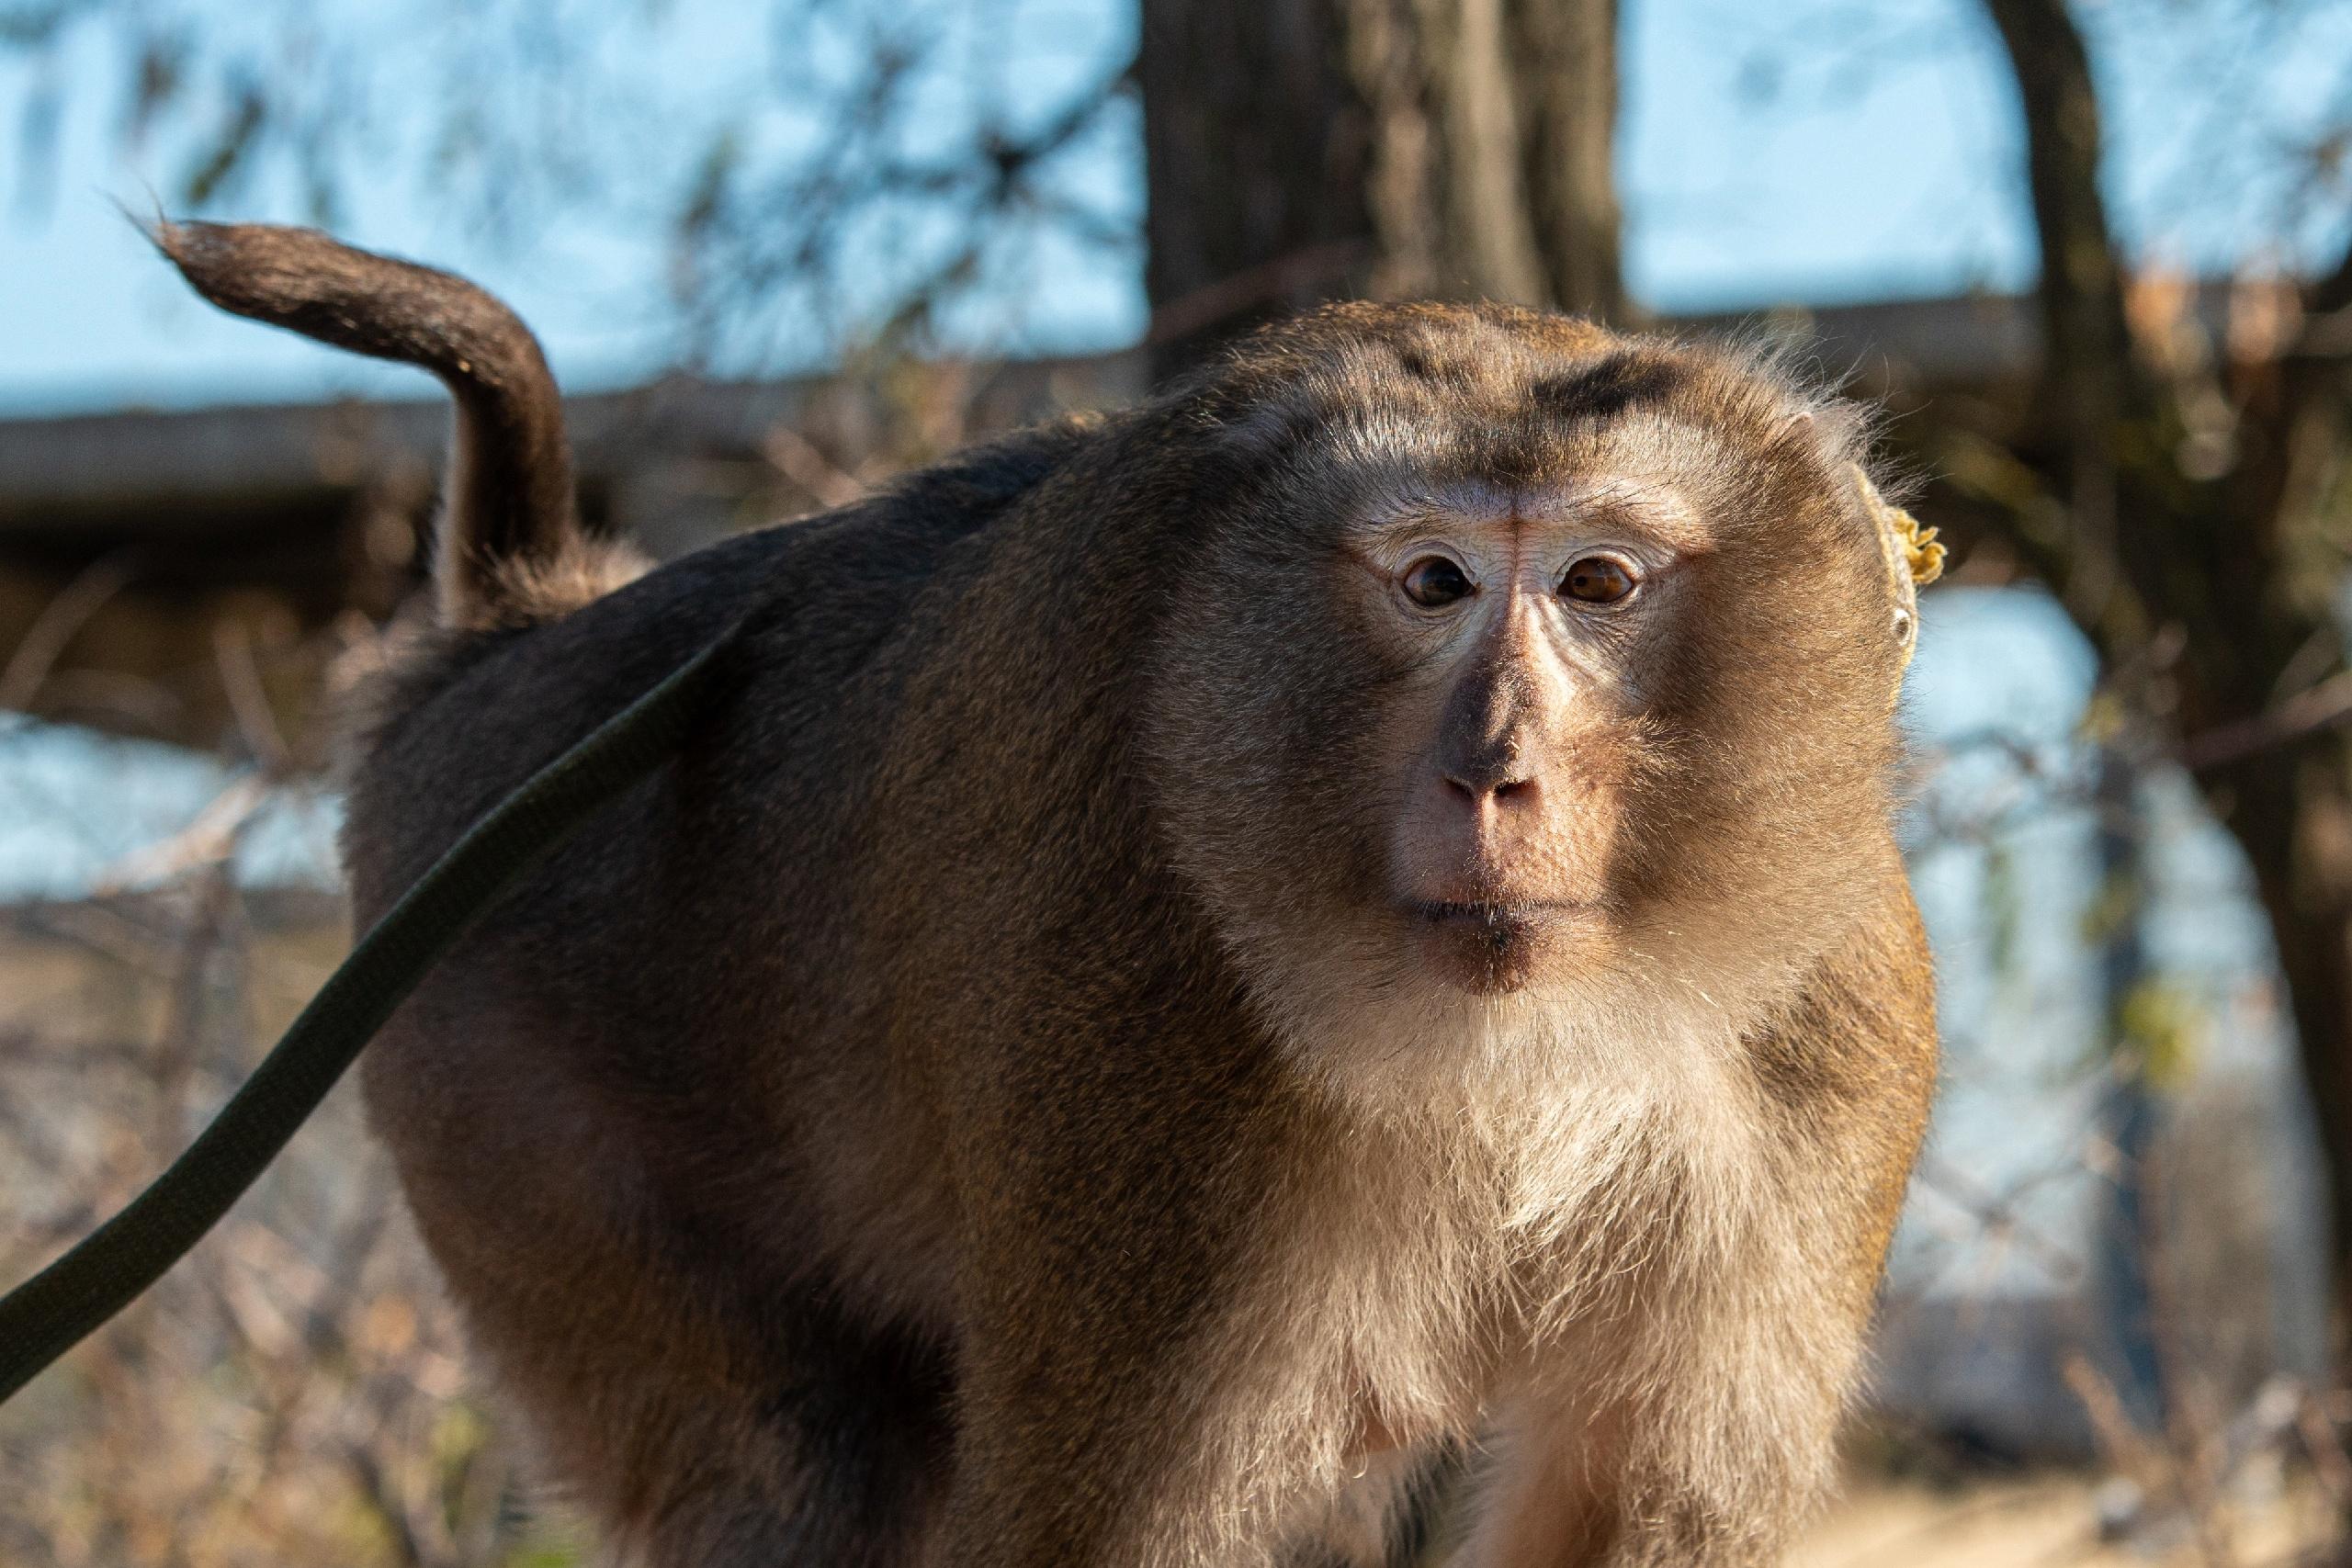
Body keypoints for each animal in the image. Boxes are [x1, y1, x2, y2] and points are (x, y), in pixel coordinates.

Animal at [156, 220, 1938, 1568]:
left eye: (1599, 583)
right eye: (1434, 581)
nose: (1497, 769)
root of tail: (507, 652)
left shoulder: (1826, 1047)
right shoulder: (1141, 1034)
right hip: (498, 1103)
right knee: (801, 1469)